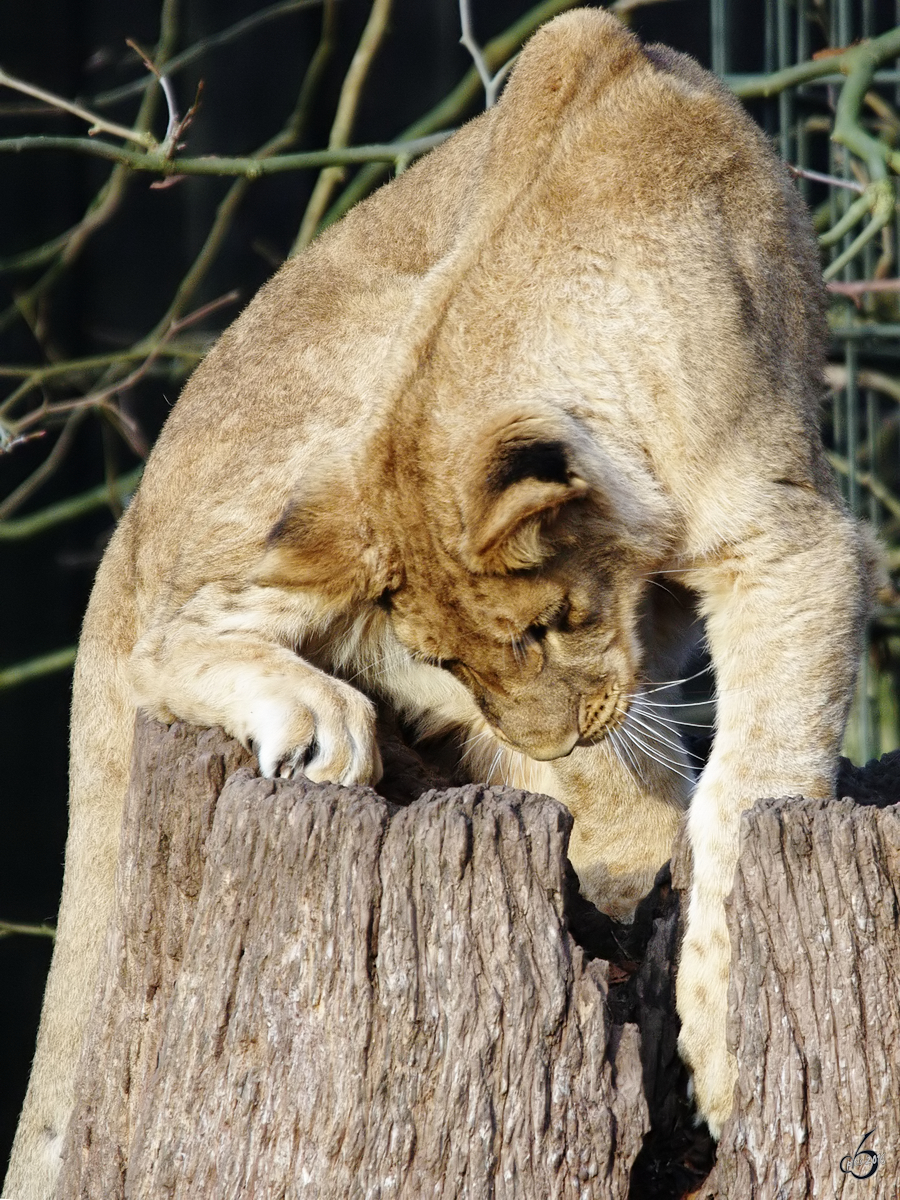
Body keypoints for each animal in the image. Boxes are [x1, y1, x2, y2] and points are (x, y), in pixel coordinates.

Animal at [5, 7, 868, 1190]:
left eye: (552, 626)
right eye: (453, 659)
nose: (553, 738)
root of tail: (122, 537)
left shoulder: (784, 544)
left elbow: (750, 784)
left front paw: (723, 1038)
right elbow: (685, 777)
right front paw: (715, 1035)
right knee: (168, 637)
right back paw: (325, 726)